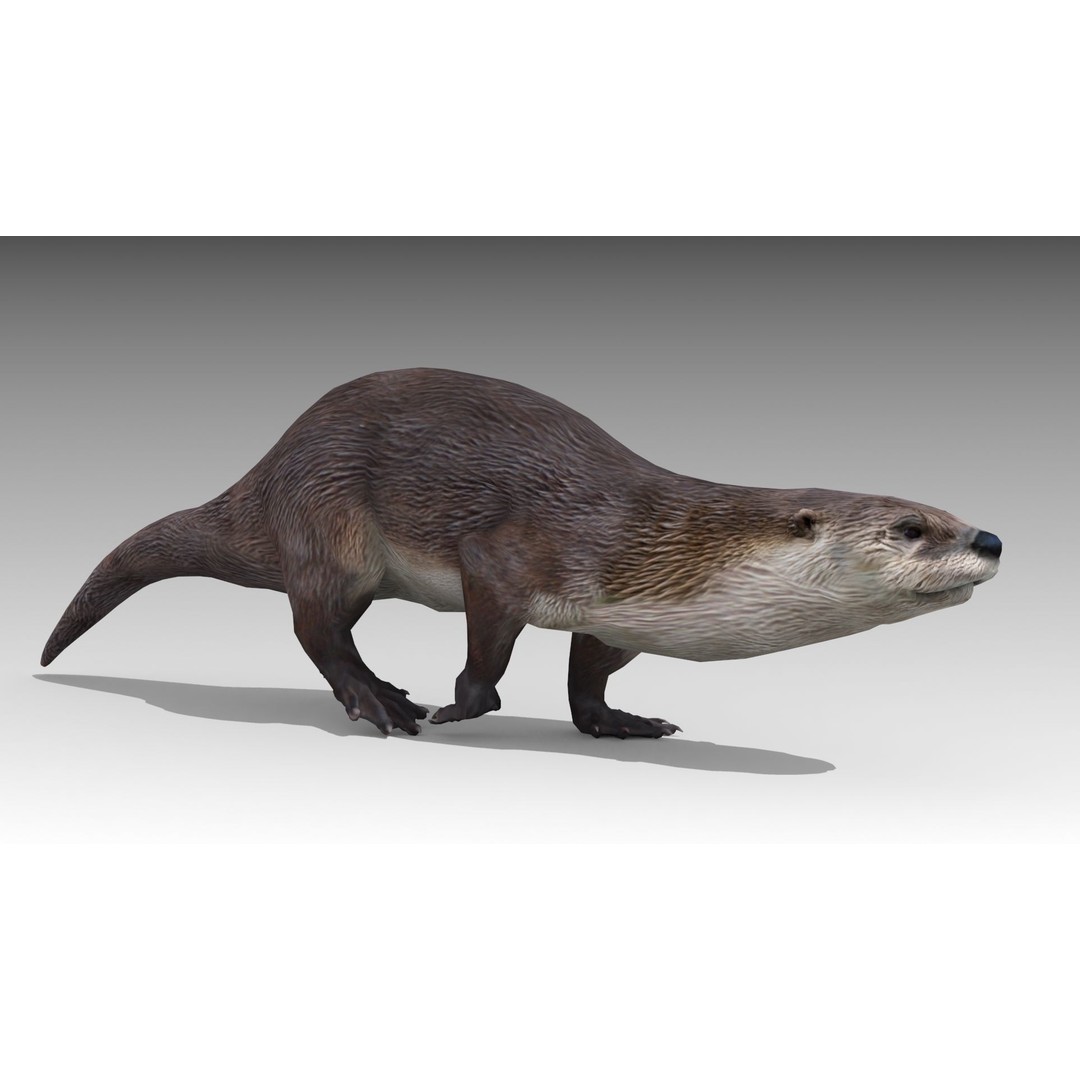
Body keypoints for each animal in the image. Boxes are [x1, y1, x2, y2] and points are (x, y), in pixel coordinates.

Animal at [41, 369, 1002, 738]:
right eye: (912, 527)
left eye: (955, 515)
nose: (991, 538)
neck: (669, 547)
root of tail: (272, 464)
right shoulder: (515, 555)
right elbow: (489, 645)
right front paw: (462, 707)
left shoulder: (618, 611)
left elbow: (589, 671)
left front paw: (615, 721)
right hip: (332, 524)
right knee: (317, 625)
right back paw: (379, 701)